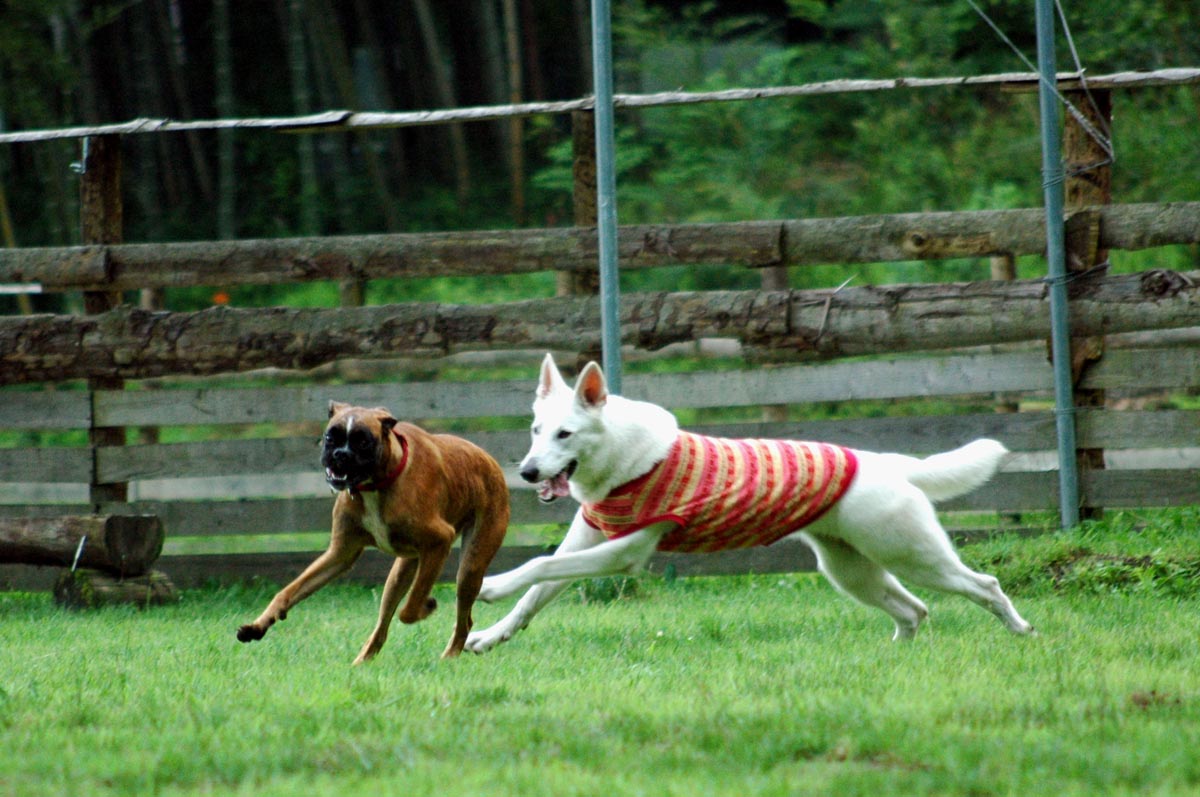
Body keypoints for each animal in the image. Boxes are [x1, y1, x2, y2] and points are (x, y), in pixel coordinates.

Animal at [236, 400, 508, 662]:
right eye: (331, 437)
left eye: (363, 441)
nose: (341, 454)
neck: (375, 484)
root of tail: (490, 462)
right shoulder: (339, 555)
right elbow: (289, 591)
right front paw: (257, 626)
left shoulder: (440, 540)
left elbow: (410, 608)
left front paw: (426, 606)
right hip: (399, 575)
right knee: (383, 625)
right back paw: (362, 661)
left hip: (469, 568)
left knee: (463, 619)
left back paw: (449, 656)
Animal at [460, 355, 1032, 652]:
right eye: (536, 430)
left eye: (565, 433)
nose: (528, 472)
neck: (620, 460)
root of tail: (887, 463)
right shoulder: (586, 540)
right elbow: (537, 591)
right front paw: (490, 636)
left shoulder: (623, 553)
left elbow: (536, 566)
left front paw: (491, 586)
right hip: (849, 569)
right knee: (914, 609)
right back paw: (895, 652)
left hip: (910, 553)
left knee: (983, 585)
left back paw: (1021, 630)